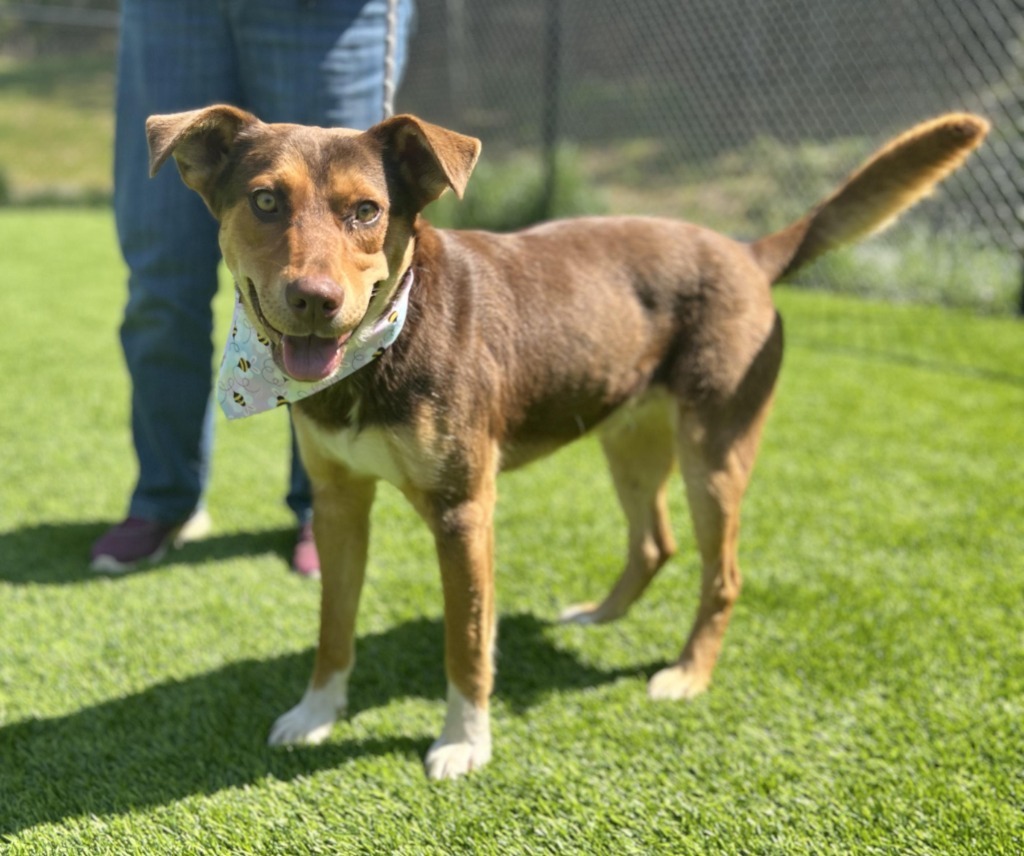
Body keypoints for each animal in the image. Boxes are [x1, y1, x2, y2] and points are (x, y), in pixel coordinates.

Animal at [144, 105, 983, 774]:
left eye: (366, 211)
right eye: (264, 200)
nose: (316, 301)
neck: (382, 346)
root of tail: (746, 253)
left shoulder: (463, 511)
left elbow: (466, 644)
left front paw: (463, 745)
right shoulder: (339, 501)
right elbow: (333, 625)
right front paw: (317, 715)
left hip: (714, 454)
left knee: (722, 574)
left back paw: (688, 674)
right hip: (628, 439)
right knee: (655, 542)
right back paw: (597, 617)